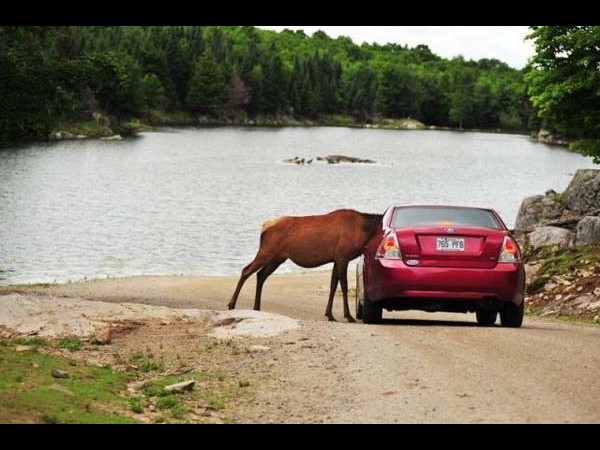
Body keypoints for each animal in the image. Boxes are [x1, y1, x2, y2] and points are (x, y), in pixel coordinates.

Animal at [227, 209, 382, 322]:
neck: (364, 232)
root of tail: (264, 228)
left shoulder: (336, 258)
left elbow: (333, 285)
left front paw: (329, 314)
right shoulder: (342, 256)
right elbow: (343, 286)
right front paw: (348, 316)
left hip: (278, 258)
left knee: (260, 275)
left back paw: (256, 307)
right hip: (266, 251)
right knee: (246, 270)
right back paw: (232, 304)